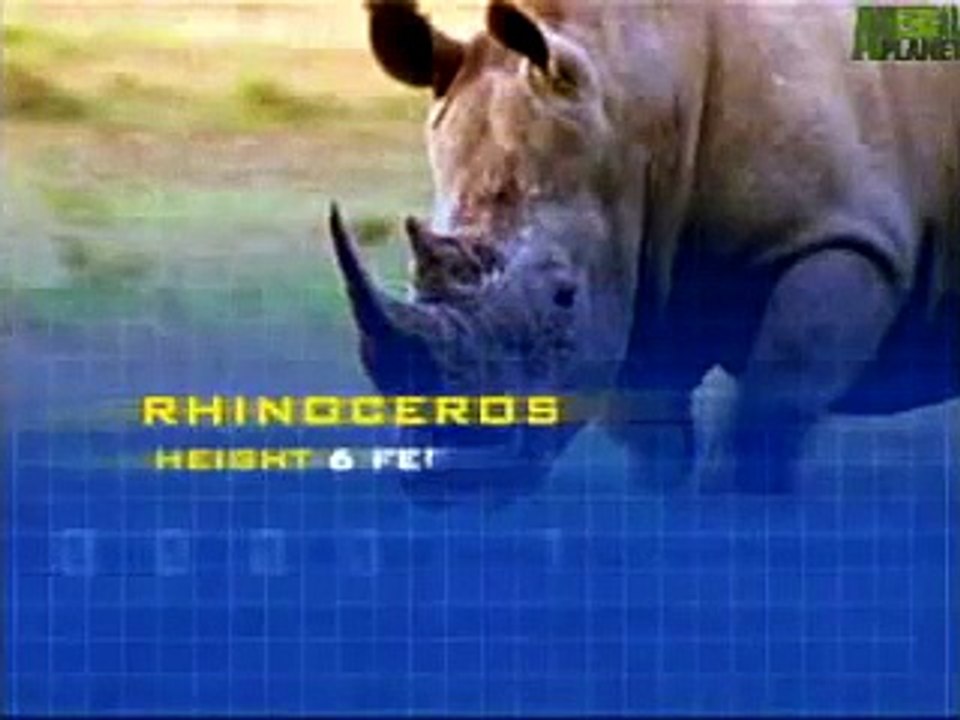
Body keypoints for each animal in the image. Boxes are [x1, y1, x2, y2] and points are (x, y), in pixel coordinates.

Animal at [329, 0, 959, 502]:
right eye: (415, 282)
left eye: (563, 297)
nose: (450, 477)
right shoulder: (635, 266)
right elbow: (654, 444)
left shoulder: (841, 238)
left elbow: (763, 421)